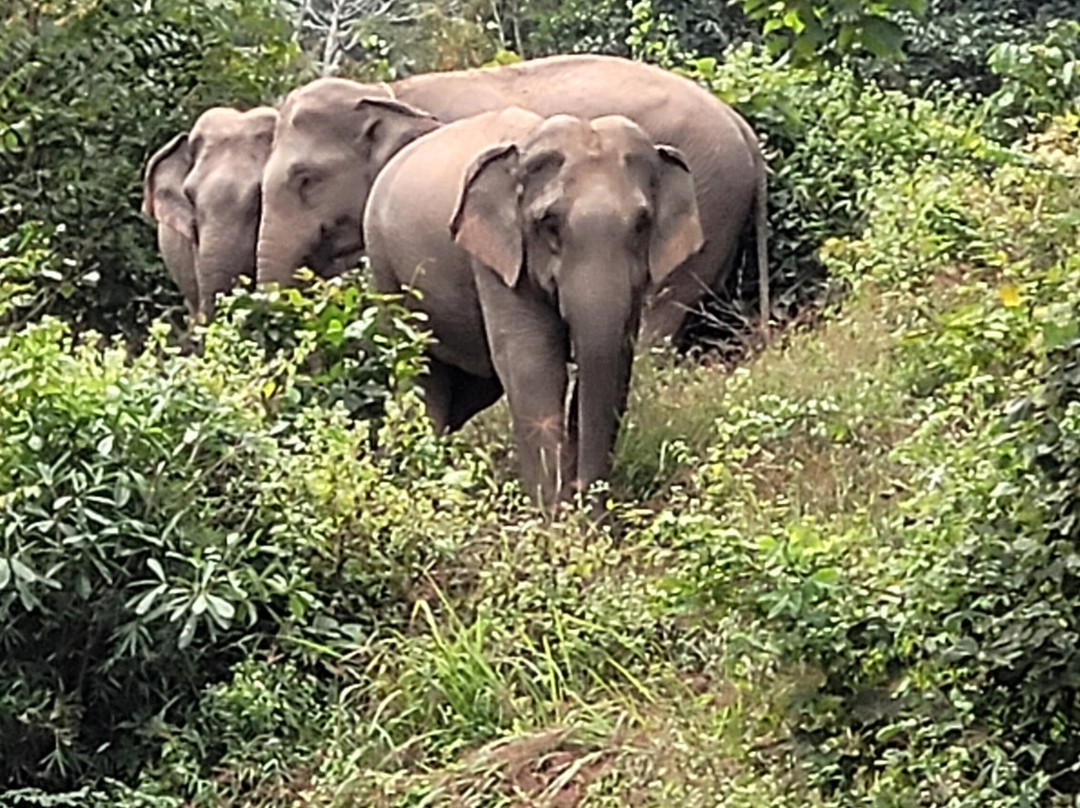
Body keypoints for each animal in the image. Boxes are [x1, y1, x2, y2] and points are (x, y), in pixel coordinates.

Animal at [363, 107, 704, 508]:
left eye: (641, 224)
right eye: (549, 224)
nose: (585, 505)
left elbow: (616, 364)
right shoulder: (498, 258)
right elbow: (533, 363)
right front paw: (552, 516)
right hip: (383, 265)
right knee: (420, 370)